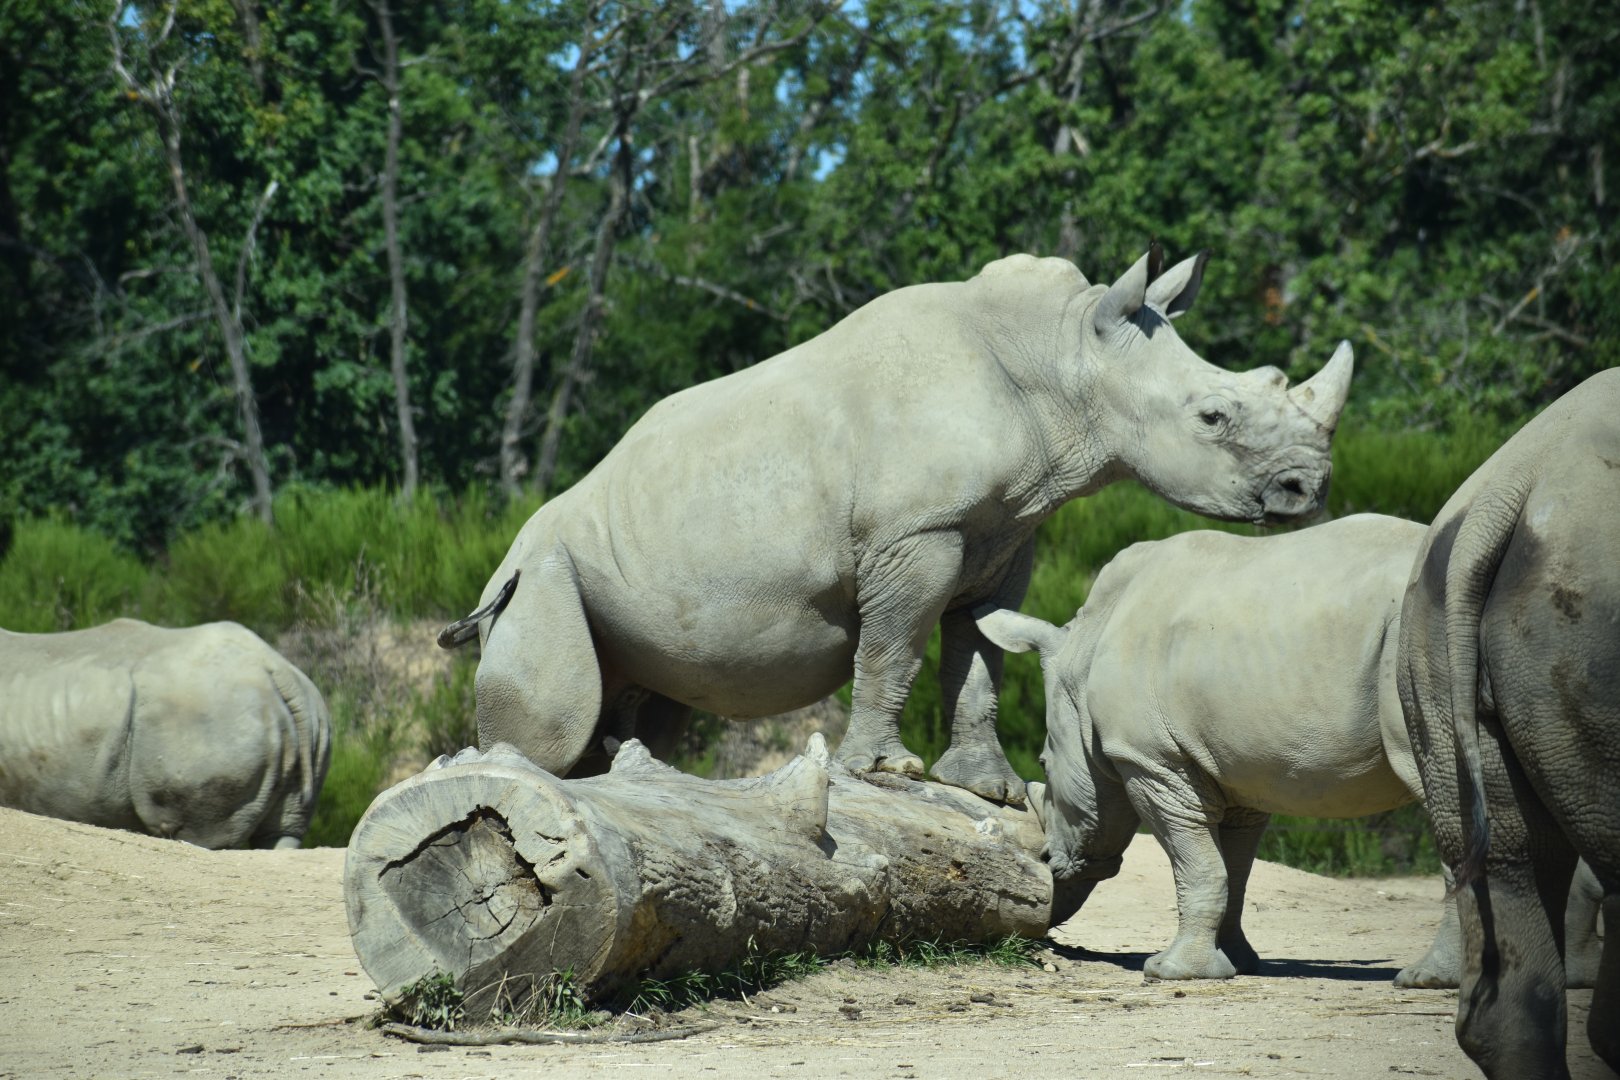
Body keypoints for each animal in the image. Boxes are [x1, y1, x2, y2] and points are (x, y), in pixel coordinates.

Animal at [445, 247, 1352, 803]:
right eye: (1212, 416)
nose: (1308, 489)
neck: (1065, 365)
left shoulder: (1005, 531)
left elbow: (978, 649)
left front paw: (987, 787)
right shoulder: (913, 534)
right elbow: (895, 646)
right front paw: (887, 771)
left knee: (647, 703)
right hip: (540, 566)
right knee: (557, 707)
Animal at [975, 513, 1602, 983]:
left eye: (1045, 766)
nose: (1051, 862)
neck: (1081, 655)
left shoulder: (1152, 762)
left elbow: (1197, 862)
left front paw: (1171, 971)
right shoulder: (1236, 773)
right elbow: (1232, 869)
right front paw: (1239, 964)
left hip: (1427, 632)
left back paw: (1430, 981)